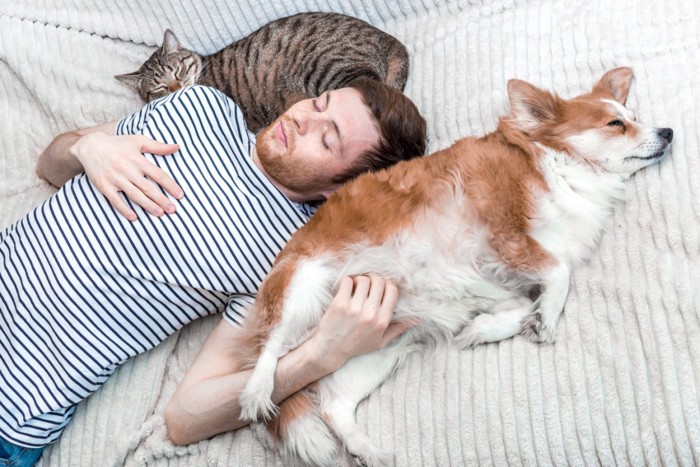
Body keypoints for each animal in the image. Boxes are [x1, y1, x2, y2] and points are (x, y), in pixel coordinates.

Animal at [239, 67, 672, 466]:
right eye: (616, 124)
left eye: (634, 116)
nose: (668, 131)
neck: (563, 170)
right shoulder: (505, 236)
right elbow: (559, 272)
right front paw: (546, 317)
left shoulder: (496, 282)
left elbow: (520, 303)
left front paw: (483, 330)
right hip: (301, 290)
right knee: (271, 350)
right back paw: (257, 392)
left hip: (375, 345)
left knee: (335, 406)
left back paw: (369, 451)